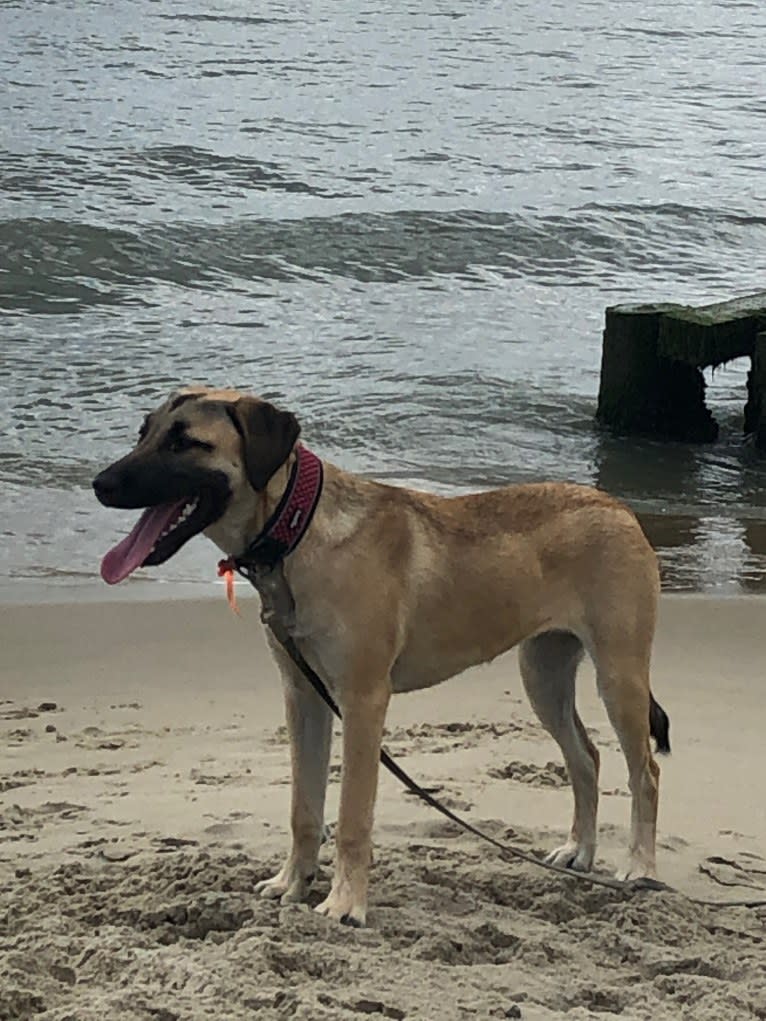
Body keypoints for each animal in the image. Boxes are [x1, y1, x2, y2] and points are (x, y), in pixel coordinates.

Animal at [94, 385, 669, 931]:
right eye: (144, 432)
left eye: (186, 443)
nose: (101, 484)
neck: (297, 531)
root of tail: (618, 507)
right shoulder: (304, 698)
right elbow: (304, 808)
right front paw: (292, 882)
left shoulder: (363, 701)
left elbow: (351, 814)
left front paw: (345, 904)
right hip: (543, 674)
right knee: (585, 759)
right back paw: (580, 851)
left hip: (619, 674)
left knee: (644, 772)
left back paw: (640, 868)